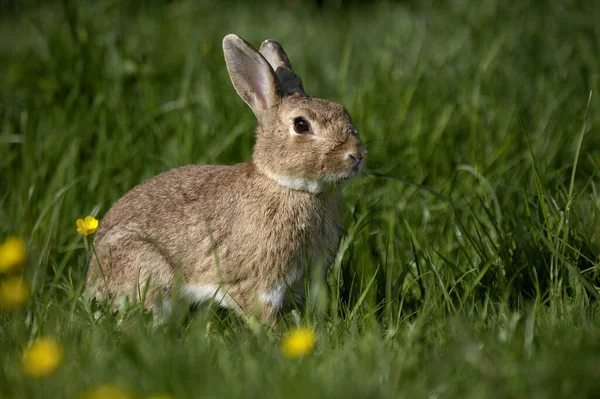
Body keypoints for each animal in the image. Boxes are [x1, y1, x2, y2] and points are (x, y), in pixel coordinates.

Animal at [85, 32, 366, 324]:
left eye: (343, 110)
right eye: (301, 125)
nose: (356, 155)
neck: (287, 186)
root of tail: (92, 276)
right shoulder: (261, 283)